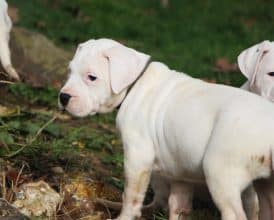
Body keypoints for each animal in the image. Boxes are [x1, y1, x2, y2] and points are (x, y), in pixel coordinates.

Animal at [60, 38, 274, 220]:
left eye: (92, 77)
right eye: (69, 72)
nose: (63, 97)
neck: (135, 83)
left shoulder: (138, 159)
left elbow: (131, 195)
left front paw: (125, 216)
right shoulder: (180, 172)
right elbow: (178, 205)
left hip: (220, 173)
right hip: (265, 185)